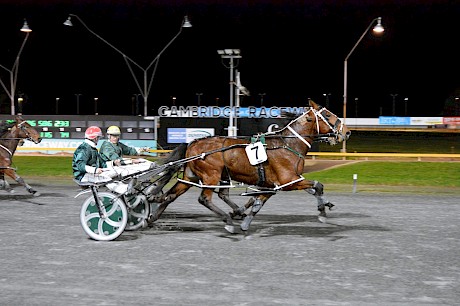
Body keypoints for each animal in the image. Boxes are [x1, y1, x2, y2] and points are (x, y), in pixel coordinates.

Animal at [150, 100, 348, 232]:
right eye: (328, 115)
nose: (346, 132)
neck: (287, 144)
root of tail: (193, 143)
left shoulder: (276, 183)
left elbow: (257, 201)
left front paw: (244, 219)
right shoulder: (288, 180)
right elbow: (317, 185)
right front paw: (322, 212)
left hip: (192, 176)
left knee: (170, 195)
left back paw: (151, 218)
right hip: (211, 175)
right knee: (204, 199)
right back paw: (227, 221)